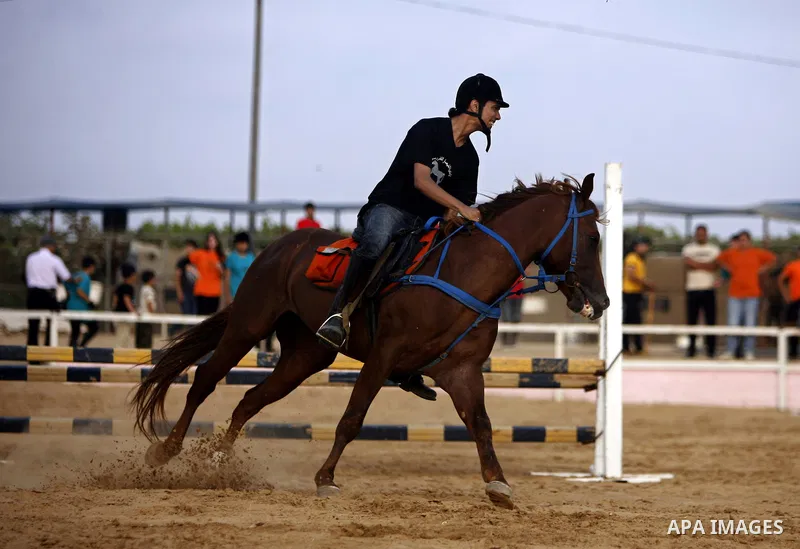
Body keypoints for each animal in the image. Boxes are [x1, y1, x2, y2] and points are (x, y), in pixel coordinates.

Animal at [130, 173, 609, 509]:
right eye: (592, 237)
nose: (602, 301)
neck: (464, 272)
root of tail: (281, 246)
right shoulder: (382, 357)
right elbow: (352, 419)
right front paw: (325, 479)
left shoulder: (462, 371)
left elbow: (481, 425)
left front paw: (498, 485)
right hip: (248, 325)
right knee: (205, 380)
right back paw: (166, 451)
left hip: (305, 356)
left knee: (249, 400)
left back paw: (218, 462)